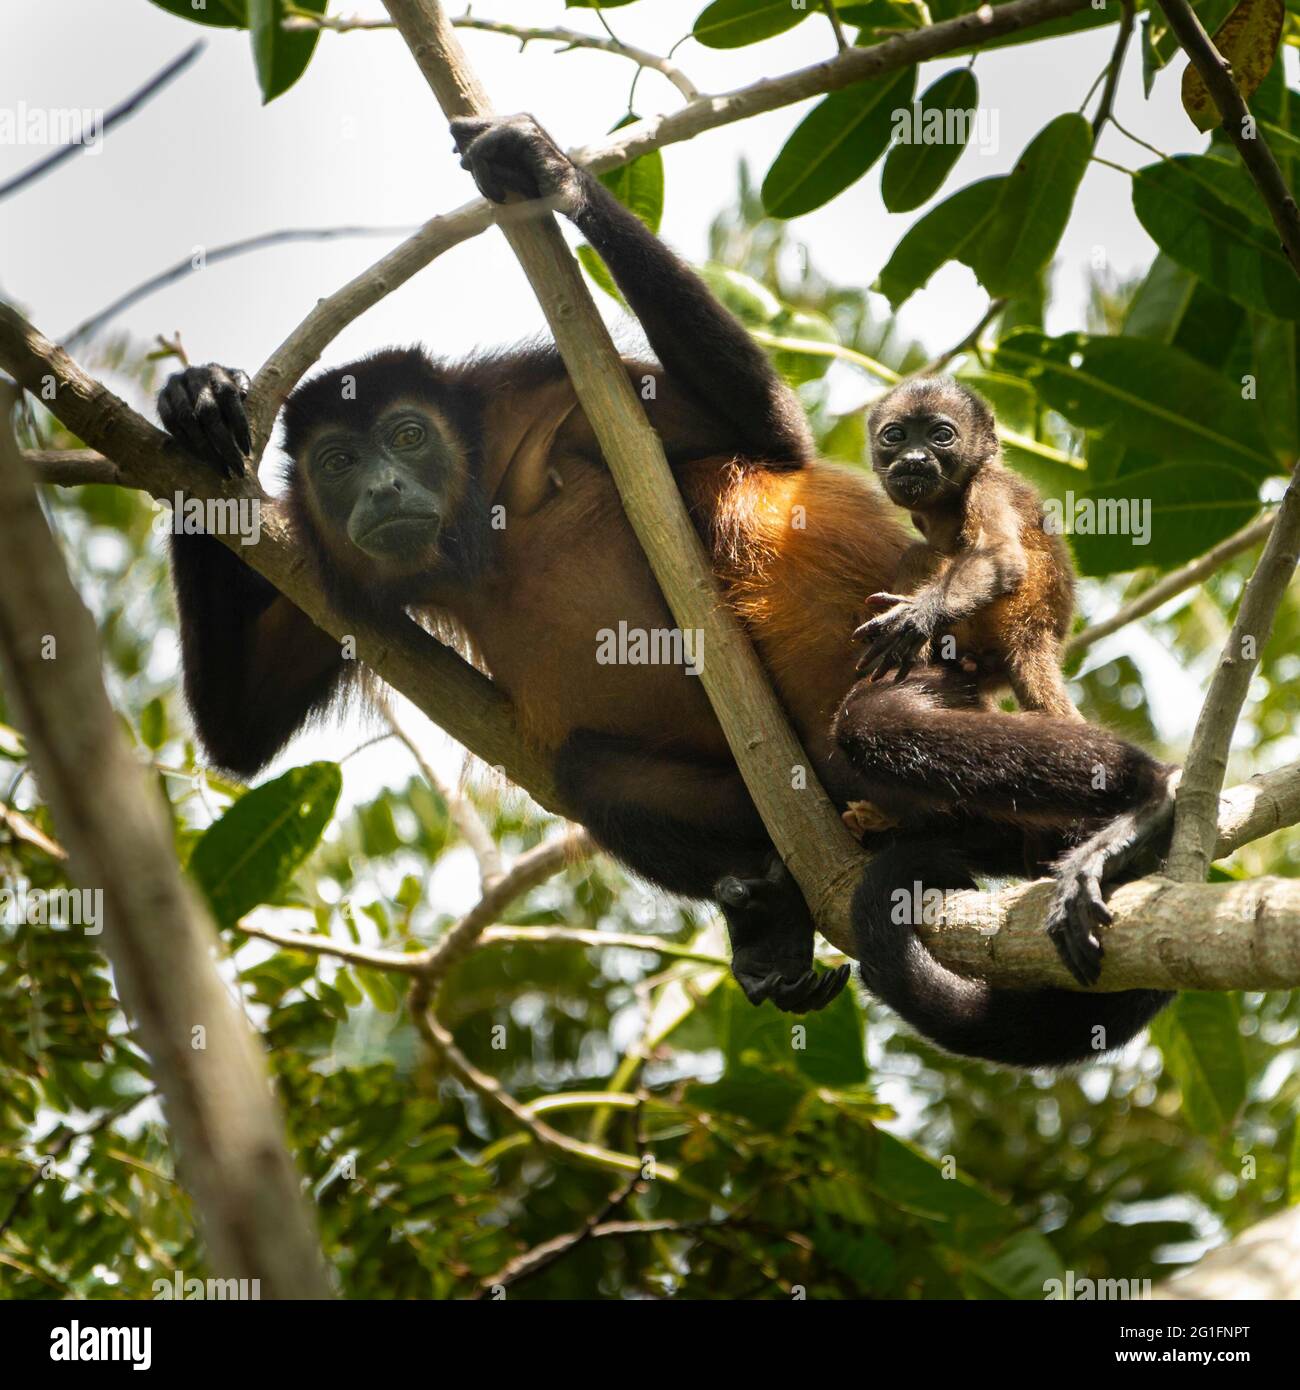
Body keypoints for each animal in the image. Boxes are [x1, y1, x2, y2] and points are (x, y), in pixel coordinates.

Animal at [157, 113, 1173, 1067]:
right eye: (337, 461)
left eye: (407, 437)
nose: (379, 489)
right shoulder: (320, 561)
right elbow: (241, 734)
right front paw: (195, 404)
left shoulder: (537, 394)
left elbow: (769, 432)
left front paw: (546, 166)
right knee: (589, 769)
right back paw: (769, 918)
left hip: (941, 681)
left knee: (875, 714)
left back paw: (1136, 804)